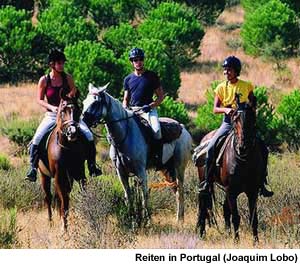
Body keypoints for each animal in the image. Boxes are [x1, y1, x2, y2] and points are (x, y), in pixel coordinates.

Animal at [38, 92, 86, 230]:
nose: (72, 132)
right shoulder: (59, 177)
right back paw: (50, 222)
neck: (67, 147)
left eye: (78, 109)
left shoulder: (79, 173)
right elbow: (64, 201)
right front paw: (64, 229)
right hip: (44, 175)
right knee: (48, 197)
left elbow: (82, 194)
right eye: (63, 110)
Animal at [82, 83, 192, 224]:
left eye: (95, 103)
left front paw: (147, 220)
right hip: (167, 169)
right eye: (84, 102)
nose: (83, 121)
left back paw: (180, 219)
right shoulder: (121, 172)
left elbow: (144, 194)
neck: (124, 136)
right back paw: (179, 218)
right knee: (176, 190)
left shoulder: (141, 171)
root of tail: (183, 128)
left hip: (179, 167)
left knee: (181, 190)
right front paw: (131, 218)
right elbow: (128, 194)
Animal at [197, 101, 262, 240]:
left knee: (225, 209)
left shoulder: (252, 192)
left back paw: (227, 233)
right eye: (235, 119)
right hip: (204, 182)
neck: (243, 161)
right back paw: (202, 233)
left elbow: (253, 218)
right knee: (203, 206)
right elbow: (236, 217)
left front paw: (256, 241)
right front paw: (236, 241)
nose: (242, 147)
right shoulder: (231, 191)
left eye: (252, 119)